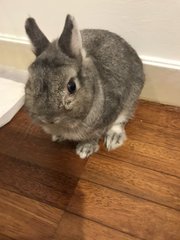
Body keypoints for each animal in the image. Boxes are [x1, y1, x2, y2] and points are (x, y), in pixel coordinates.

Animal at [24, 14, 145, 158]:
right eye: (31, 82)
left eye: (72, 86)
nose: (48, 118)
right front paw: (57, 136)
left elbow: (95, 135)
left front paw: (85, 149)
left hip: (131, 100)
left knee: (121, 120)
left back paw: (113, 139)